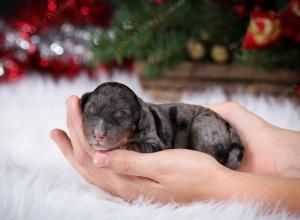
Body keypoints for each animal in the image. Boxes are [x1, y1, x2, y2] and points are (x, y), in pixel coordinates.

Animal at [79, 81, 244, 169]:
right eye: (90, 111)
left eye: (121, 116)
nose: (98, 135)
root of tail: (230, 128)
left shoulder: (156, 143)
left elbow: (142, 145)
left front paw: (128, 146)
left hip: (205, 129)